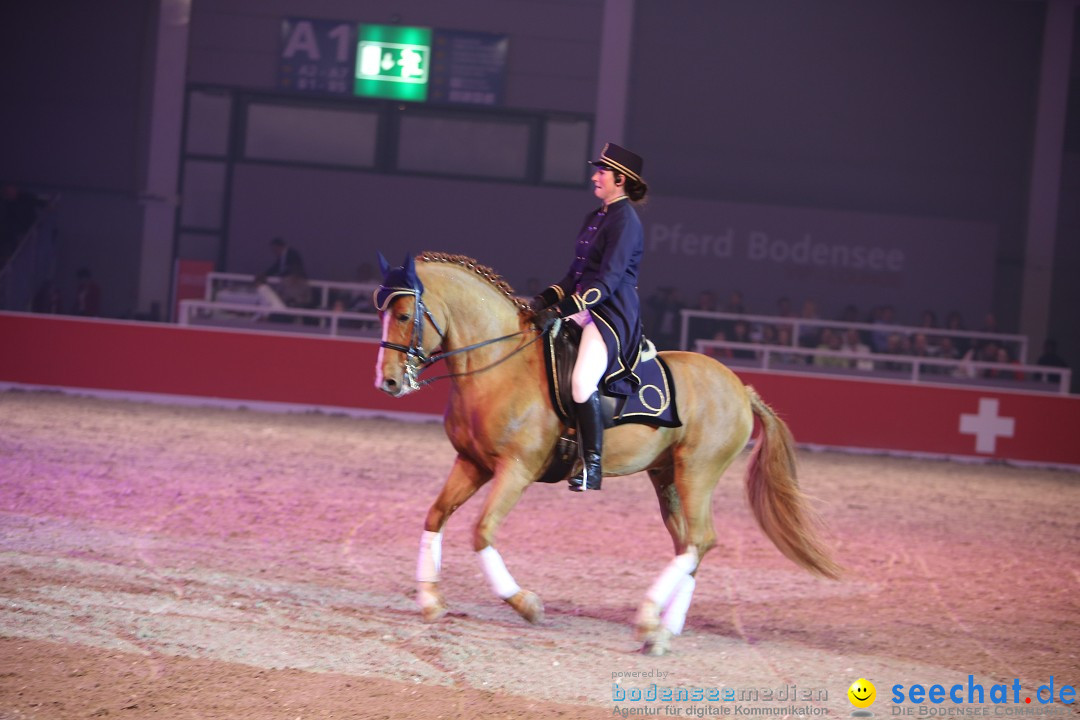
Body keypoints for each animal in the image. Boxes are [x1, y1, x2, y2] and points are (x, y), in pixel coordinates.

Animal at [375, 250, 838, 656]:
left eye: (404, 315)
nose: (389, 383)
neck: (501, 365)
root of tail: (741, 388)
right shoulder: (472, 463)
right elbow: (435, 516)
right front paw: (430, 601)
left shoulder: (516, 470)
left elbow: (482, 532)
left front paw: (525, 603)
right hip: (668, 477)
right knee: (689, 545)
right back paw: (666, 626)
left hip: (698, 472)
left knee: (700, 539)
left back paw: (653, 623)